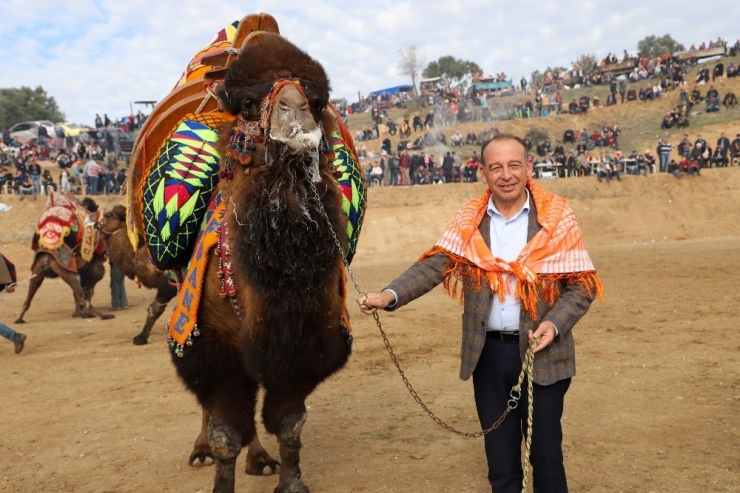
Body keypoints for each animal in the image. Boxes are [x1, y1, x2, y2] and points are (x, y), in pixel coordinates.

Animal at [14, 194, 114, 324]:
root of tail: (47, 257)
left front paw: (77, 313)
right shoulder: (93, 261)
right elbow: (90, 285)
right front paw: (81, 313)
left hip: (38, 269)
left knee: (30, 293)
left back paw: (19, 318)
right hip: (65, 268)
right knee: (81, 293)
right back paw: (100, 315)